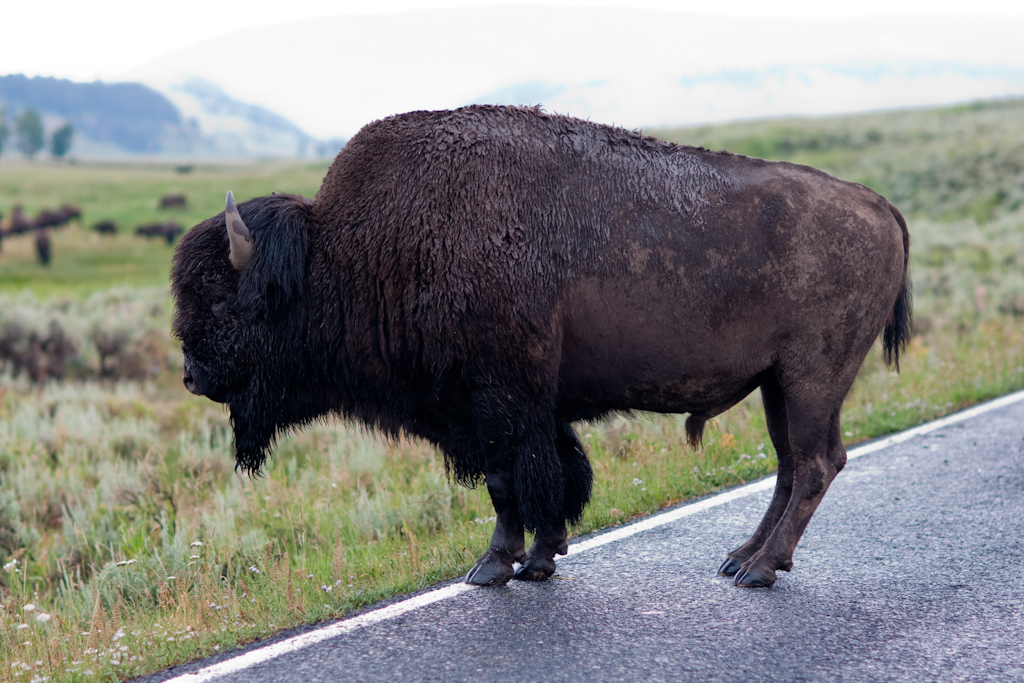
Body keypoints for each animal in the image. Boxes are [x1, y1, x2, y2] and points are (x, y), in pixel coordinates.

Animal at [172, 105, 911, 588]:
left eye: (225, 299)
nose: (192, 375)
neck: (345, 254)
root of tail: (879, 204)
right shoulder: (530, 407)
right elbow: (555, 475)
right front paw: (541, 556)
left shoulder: (493, 402)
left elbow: (510, 484)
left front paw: (494, 567)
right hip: (778, 385)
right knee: (791, 465)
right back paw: (742, 558)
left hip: (812, 378)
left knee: (813, 463)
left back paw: (757, 570)